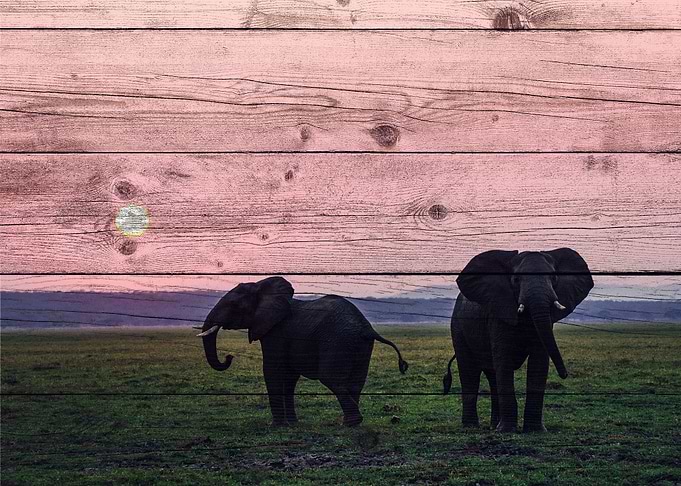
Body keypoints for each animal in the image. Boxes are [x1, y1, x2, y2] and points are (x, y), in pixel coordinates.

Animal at [197, 276, 408, 426]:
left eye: (233, 305)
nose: (229, 357)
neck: (261, 287)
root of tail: (366, 327)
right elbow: (290, 377)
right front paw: (292, 424)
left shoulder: (276, 332)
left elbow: (272, 370)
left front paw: (277, 426)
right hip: (360, 345)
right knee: (355, 383)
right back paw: (350, 422)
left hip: (337, 341)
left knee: (331, 378)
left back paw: (350, 423)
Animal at [443, 248, 593, 433]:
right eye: (516, 280)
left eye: (554, 278)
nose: (564, 374)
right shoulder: (499, 312)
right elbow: (504, 359)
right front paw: (506, 431)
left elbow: (539, 361)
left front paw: (535, 430)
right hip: (458, 327)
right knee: (470, 373)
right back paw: (471, 427)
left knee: (492, 376)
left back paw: (494, 425)